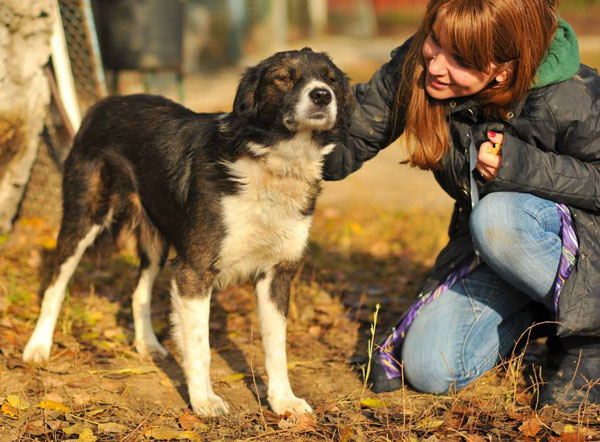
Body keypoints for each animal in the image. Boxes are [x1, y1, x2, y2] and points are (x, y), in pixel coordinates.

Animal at [22, 49, 352, 418]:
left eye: (331, 79)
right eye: (284, 77)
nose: (322, 95)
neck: (273, 164)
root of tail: (105, 102)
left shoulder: (276, 274)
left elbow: (276, 347)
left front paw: (283, 401)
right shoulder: (194, 271)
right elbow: (200, 346)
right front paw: (203, 400)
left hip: (156, 242)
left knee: (139, 293)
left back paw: (148, 344)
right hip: (83, 219)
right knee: (55, 285)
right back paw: (38, 346)